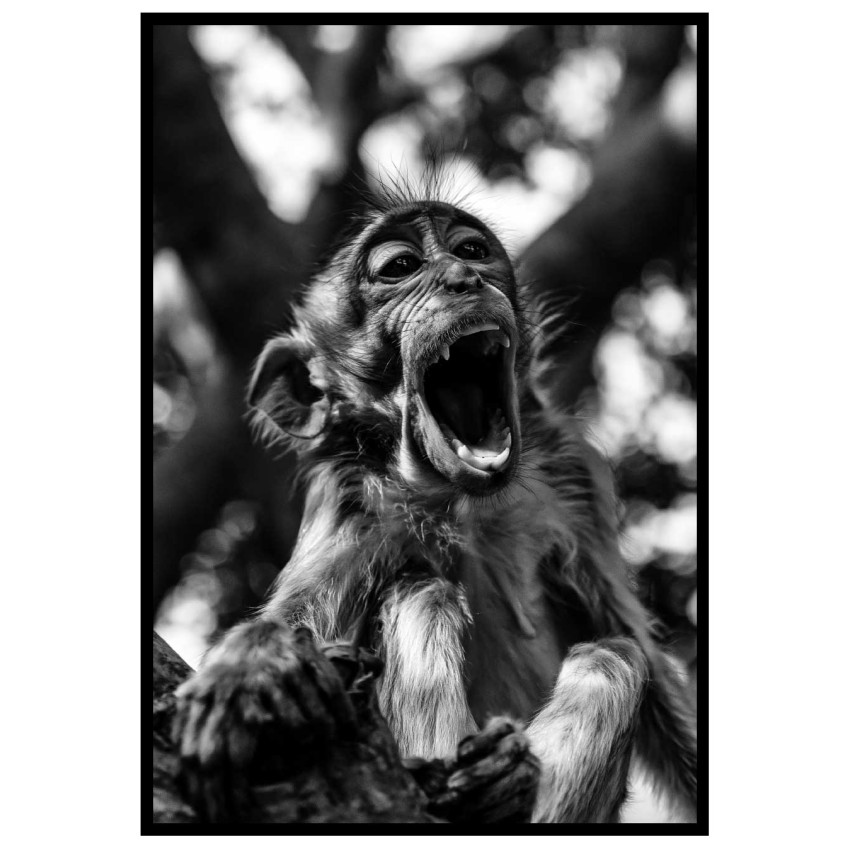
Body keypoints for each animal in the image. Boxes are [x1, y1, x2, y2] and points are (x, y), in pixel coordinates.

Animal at [173, 182, 697, 824]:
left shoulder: (571, 474)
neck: (460, 501)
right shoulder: (348, 494)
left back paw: (504, 784)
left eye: (471, 251)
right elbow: (299, 621)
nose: (461, 278)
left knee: (614, 657)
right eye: (400, 268)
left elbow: (638, 651)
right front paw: (255, 661)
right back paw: (479, 786)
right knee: (422, 592)